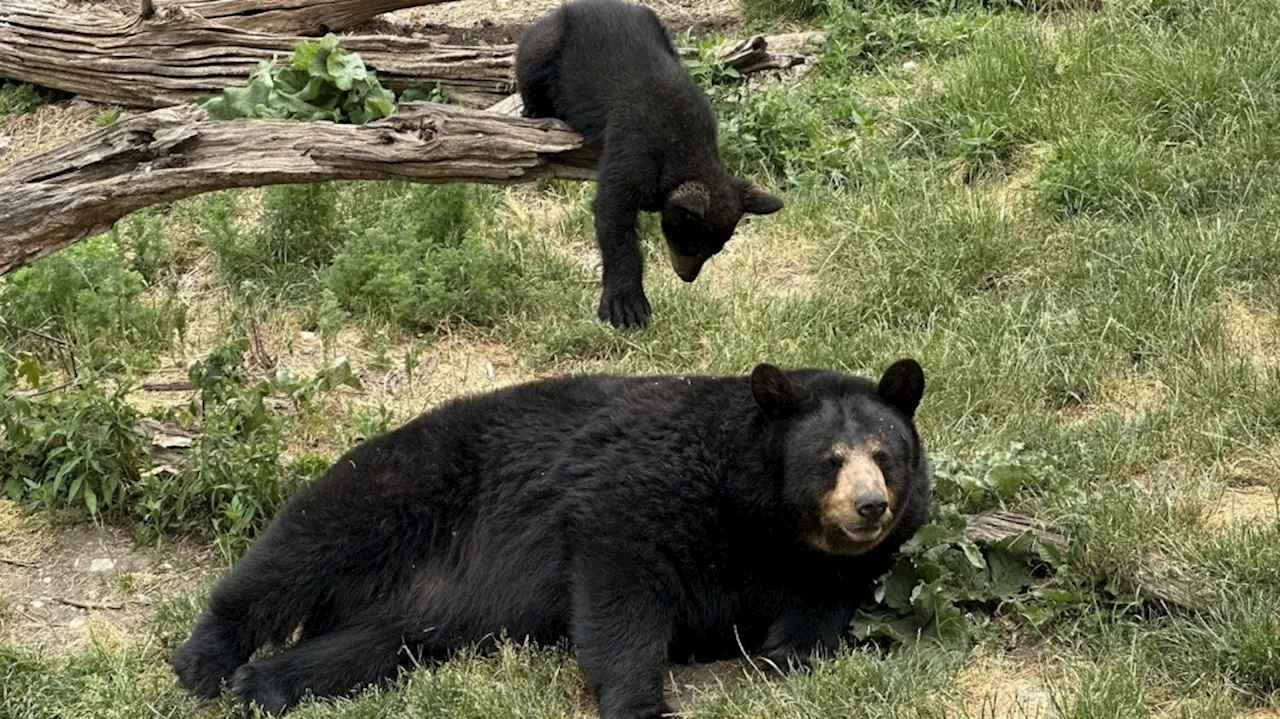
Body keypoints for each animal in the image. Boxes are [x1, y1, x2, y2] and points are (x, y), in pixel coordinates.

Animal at [172, 358, 931, 716]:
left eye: (884, 453)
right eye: (830, 458)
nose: (870, 506)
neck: (763, 517)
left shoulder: (834, 566)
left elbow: (823, 606)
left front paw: (786, 652)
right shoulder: (648, 486)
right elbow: (620, 582)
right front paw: (640, 703)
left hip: (416, 614)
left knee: (369, 645)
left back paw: (268, 683)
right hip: (404, 484)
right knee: (299, 548)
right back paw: (206, 661)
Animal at [514, 0, 783, 327]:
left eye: (716, 249)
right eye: (689, 242)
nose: (686, 277)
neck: (685, 147)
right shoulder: (632, 155)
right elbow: (615, 223)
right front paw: (626, 304)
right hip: (542, 44)